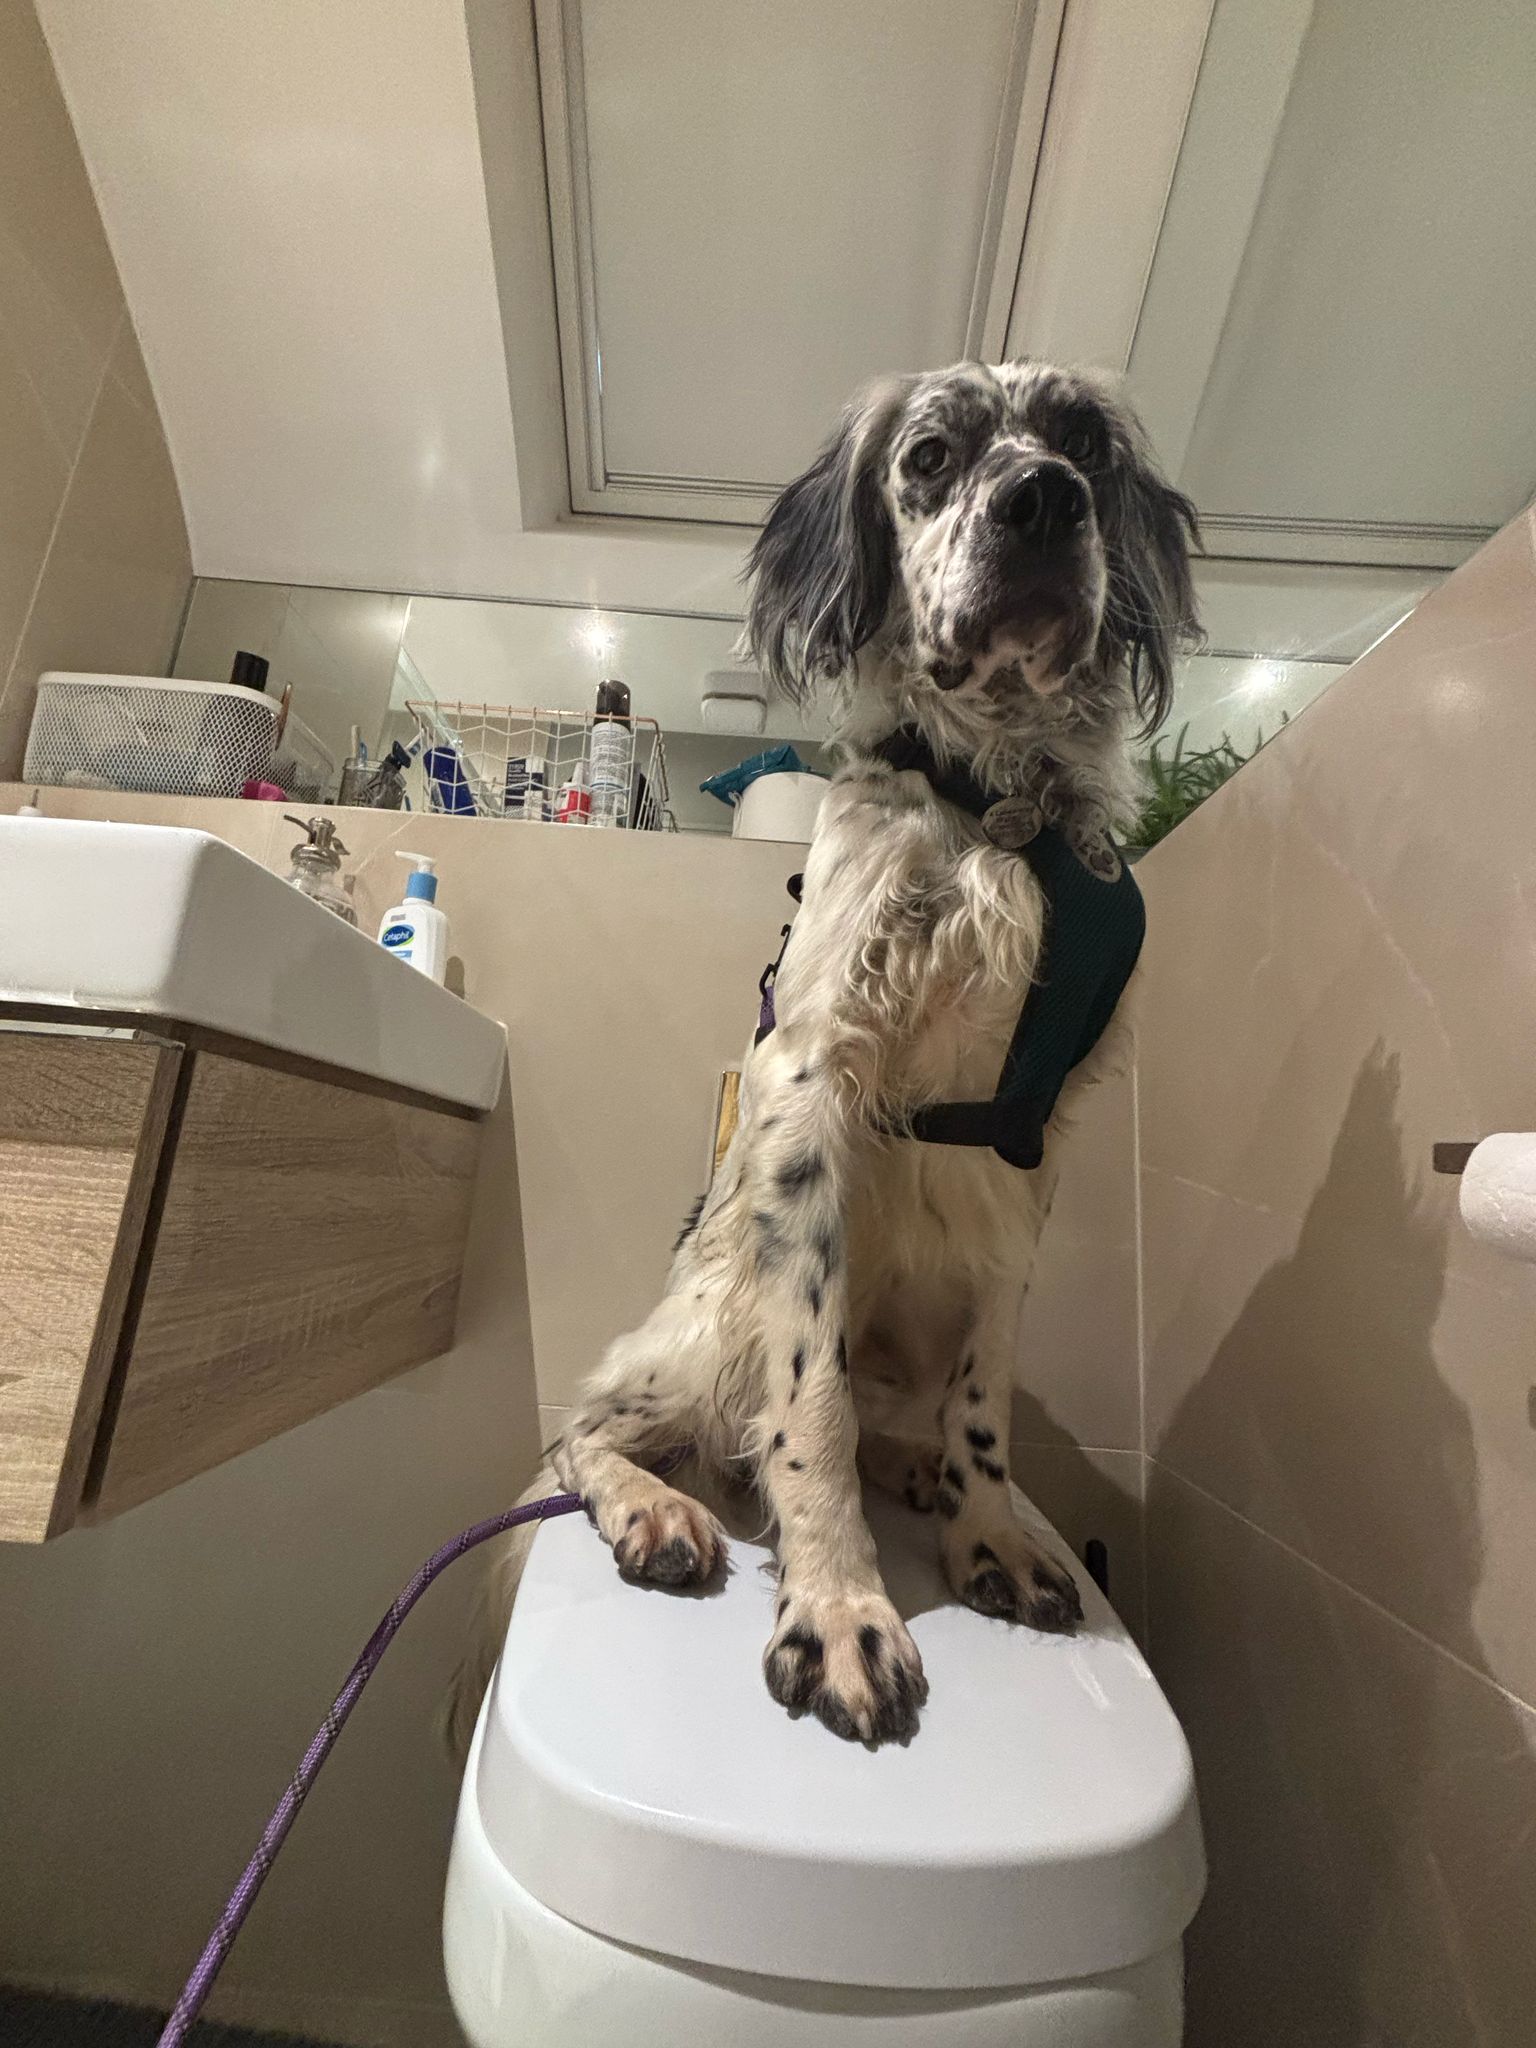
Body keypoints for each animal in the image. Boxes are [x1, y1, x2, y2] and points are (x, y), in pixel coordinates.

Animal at [446, 360, 1198, 1754]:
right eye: (933, 455)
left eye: (1081, 441)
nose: (1042, 501)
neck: (996, 803)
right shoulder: (810, 1083)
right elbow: (810, 1411)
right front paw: (841, 1603)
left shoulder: (1034, 1138)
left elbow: (986, 1394)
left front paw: (988, 1523)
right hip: (701, 1328)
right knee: (588, 1427)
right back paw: (657, 1505)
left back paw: (919, 1469)